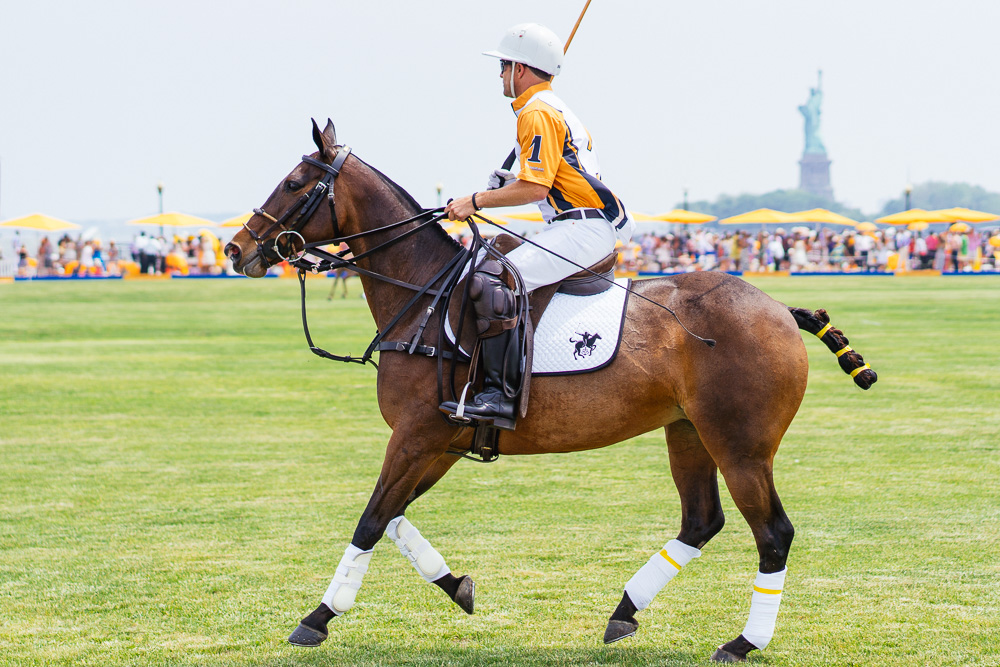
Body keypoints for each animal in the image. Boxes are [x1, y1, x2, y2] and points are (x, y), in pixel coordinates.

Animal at [225, 121, 876, 664]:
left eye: (293, 183)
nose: (236, 249)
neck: (425, 294)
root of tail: (782, 310)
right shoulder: (440, 442)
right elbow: (393, 516)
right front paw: (458, 587)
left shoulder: (417, 435)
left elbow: (371, 519)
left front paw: (316, 619)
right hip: (688, 431)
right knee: (700, 521)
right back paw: (624, 612)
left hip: (740, 444)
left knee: (773, 533)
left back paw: (742, 642)